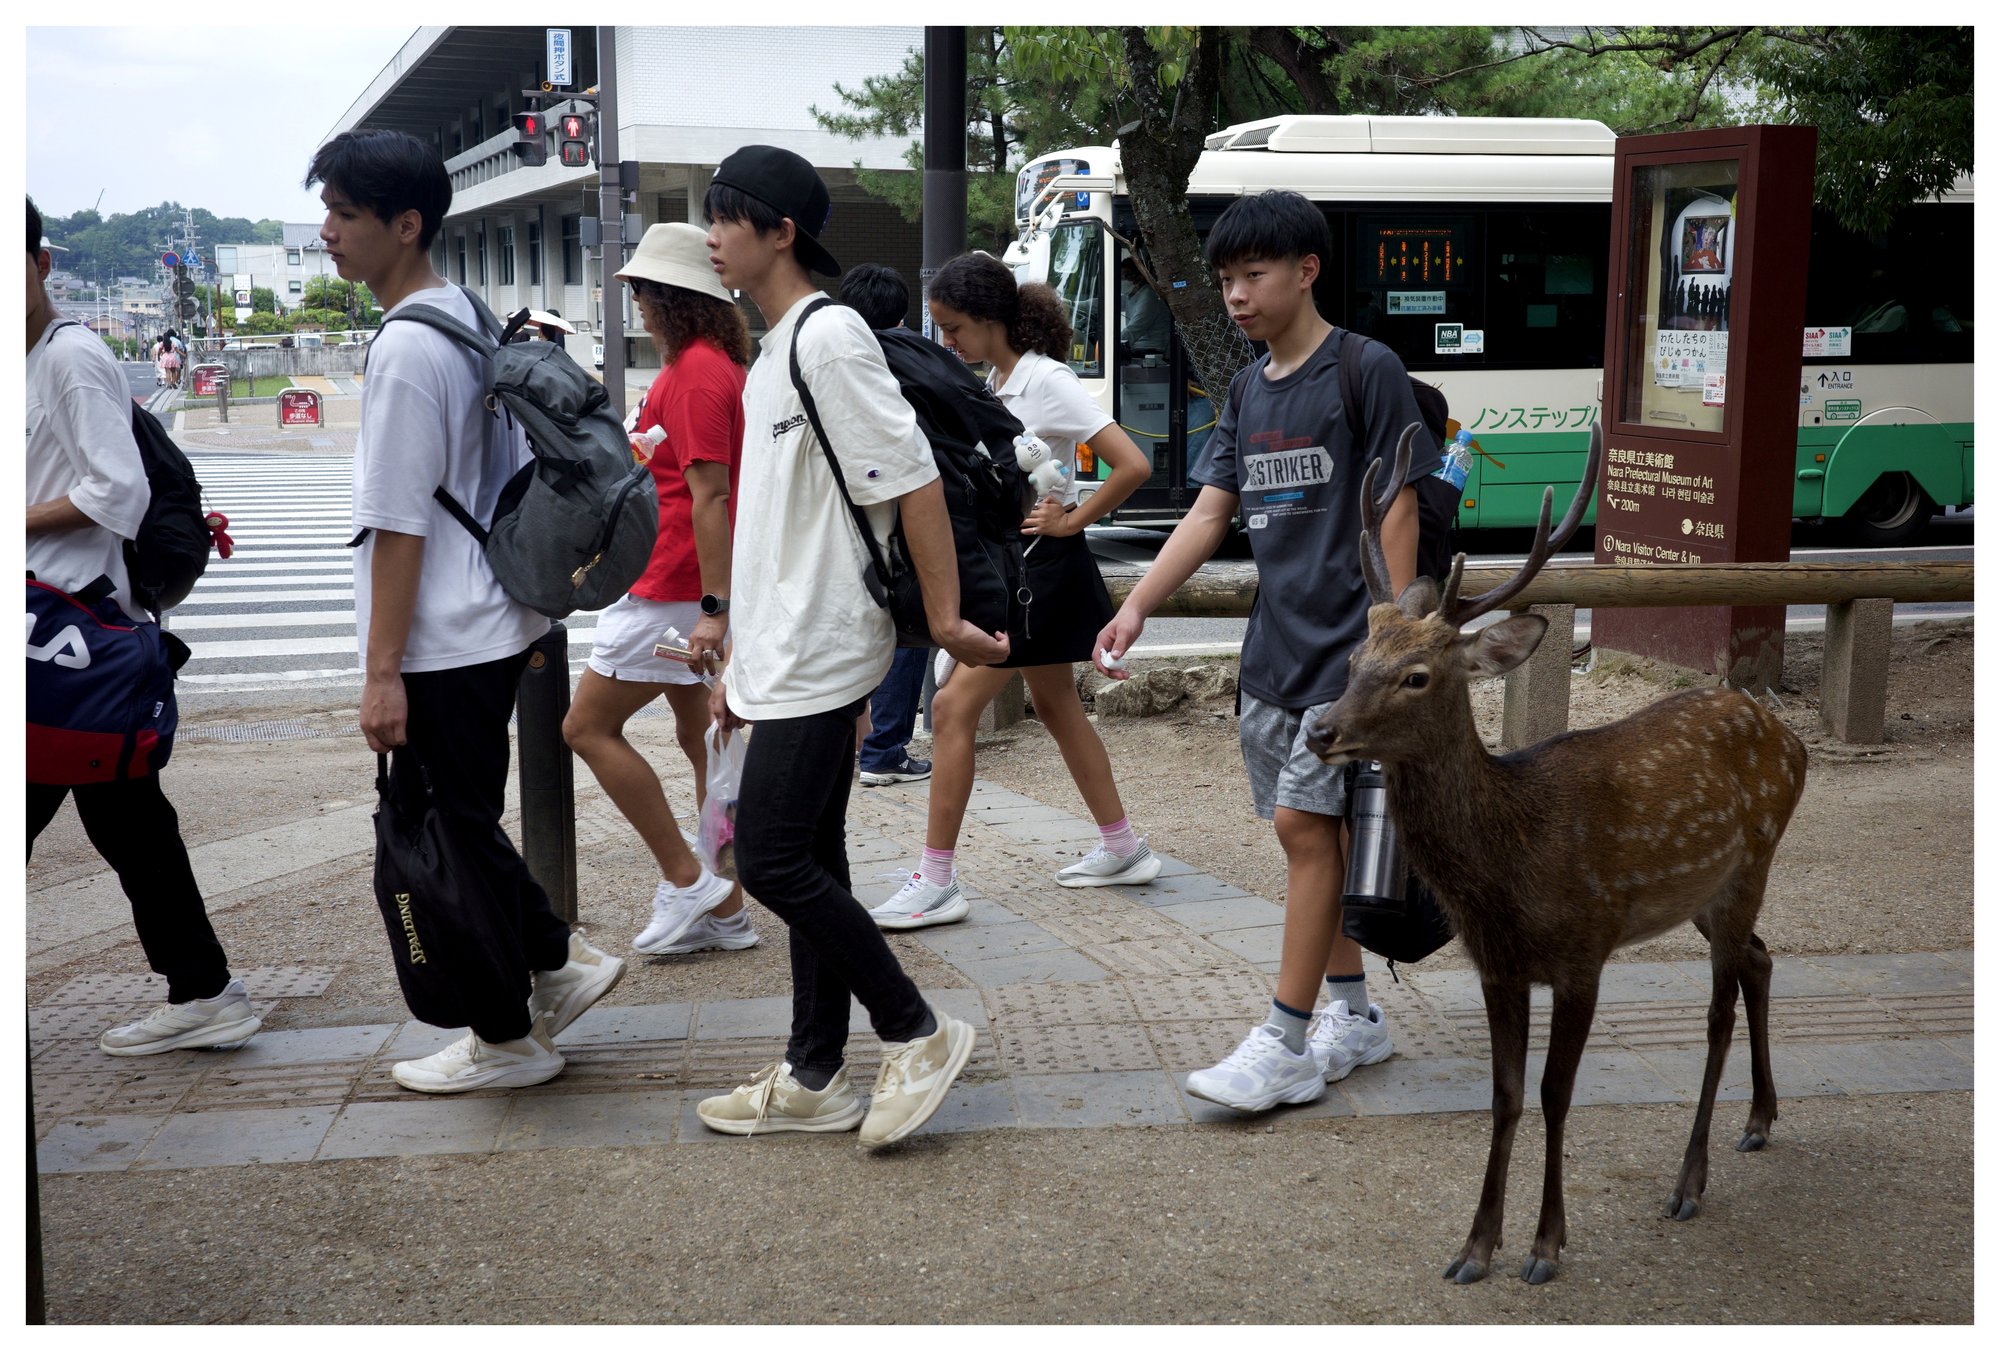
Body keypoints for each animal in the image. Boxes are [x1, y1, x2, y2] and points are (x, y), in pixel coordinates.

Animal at [1303, 421, 1807, 1286]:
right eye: (1352, 662)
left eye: (1416, 675)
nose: (1320, 728)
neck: (1514, 865)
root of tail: (1792, 737)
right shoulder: (1499, 966)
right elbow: (1504, 1095)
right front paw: (1475, 1247)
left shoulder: (1582, 950)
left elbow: (1554, 1092)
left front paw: (1545, 1244)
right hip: (1706, 895)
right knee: (1762, 958)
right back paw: (1761, 1118)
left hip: (1755, 860)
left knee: (1718, 1012)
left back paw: (1690, 1180)